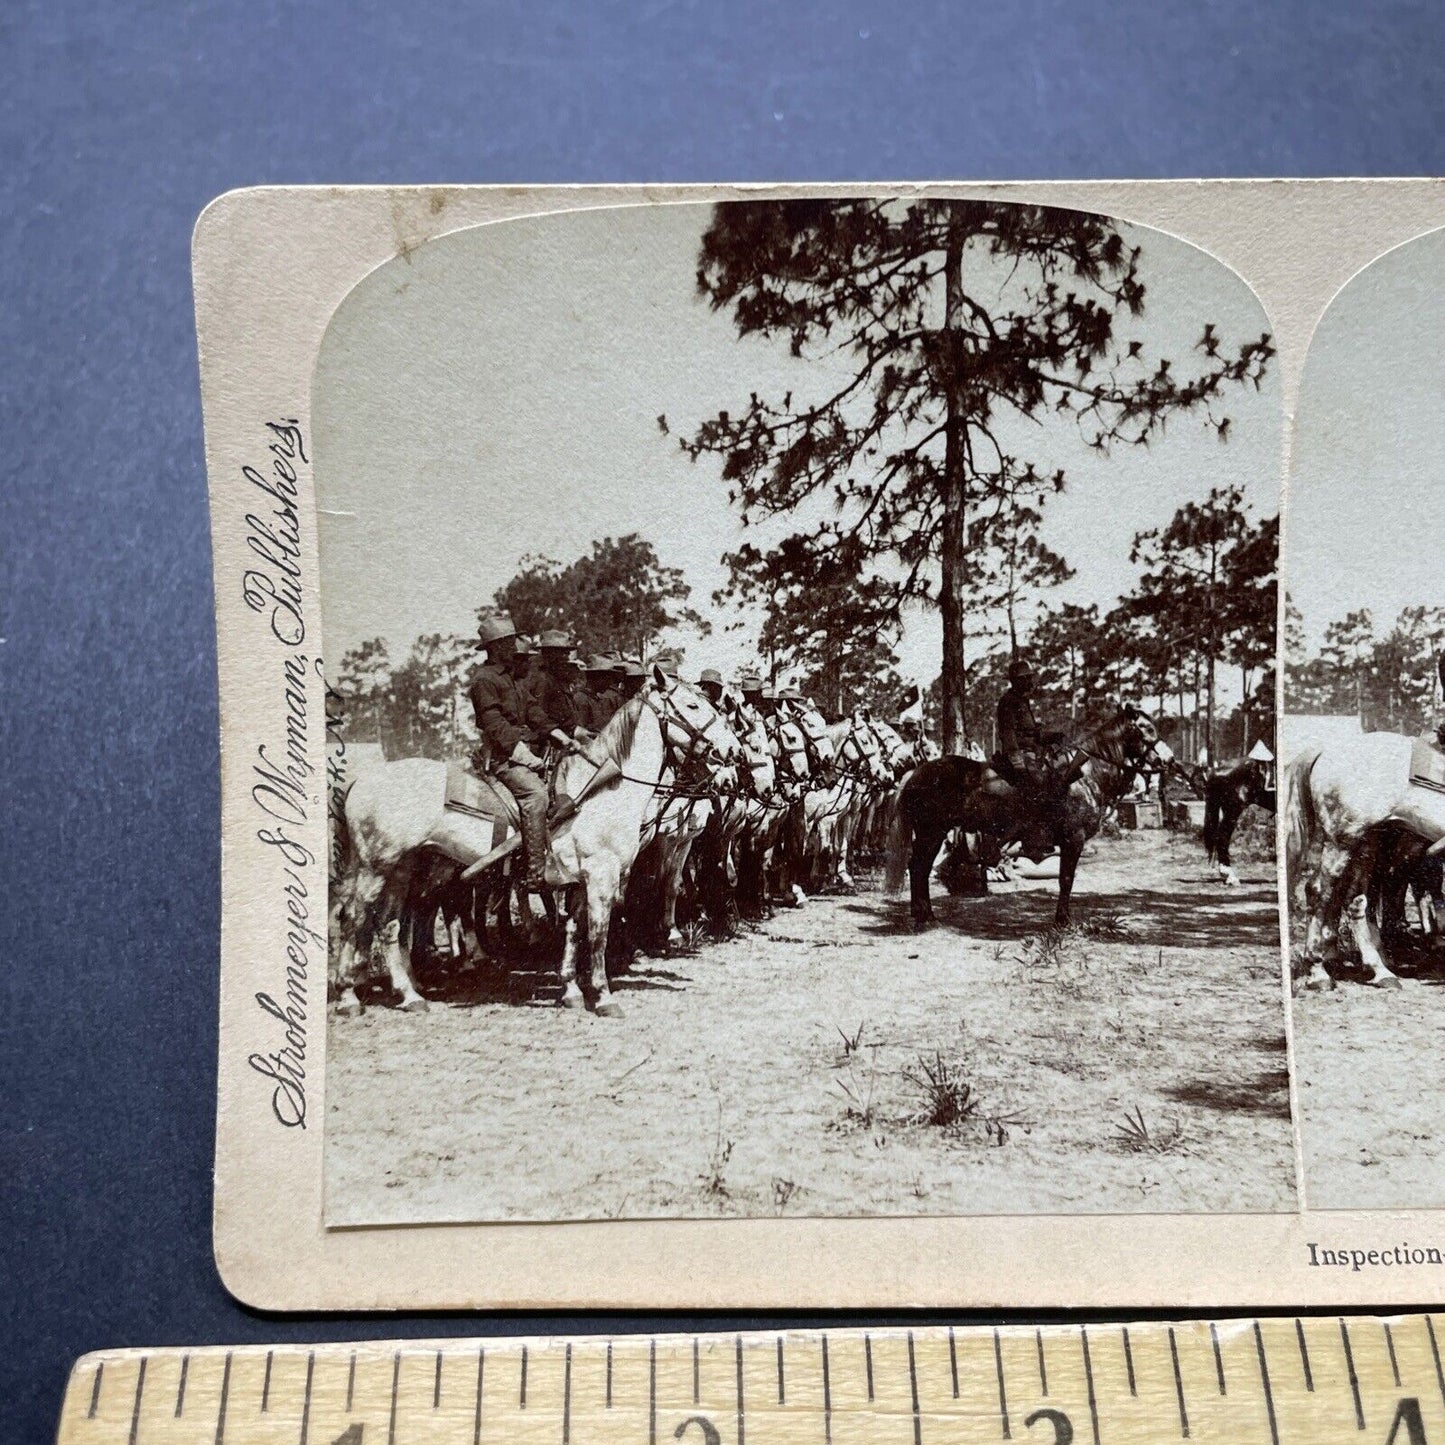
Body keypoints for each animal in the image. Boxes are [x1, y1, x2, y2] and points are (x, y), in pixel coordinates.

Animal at [878, 705, 1173, 930]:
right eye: (1146, 728)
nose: (1169, 761)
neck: (1085, 775)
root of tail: (916, 773)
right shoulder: (1073, 840)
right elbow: (1066, 880)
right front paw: (1063, 921)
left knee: (919, 868)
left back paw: (923, 914)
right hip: (932, 832)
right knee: (919, 868)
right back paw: (925, 917)